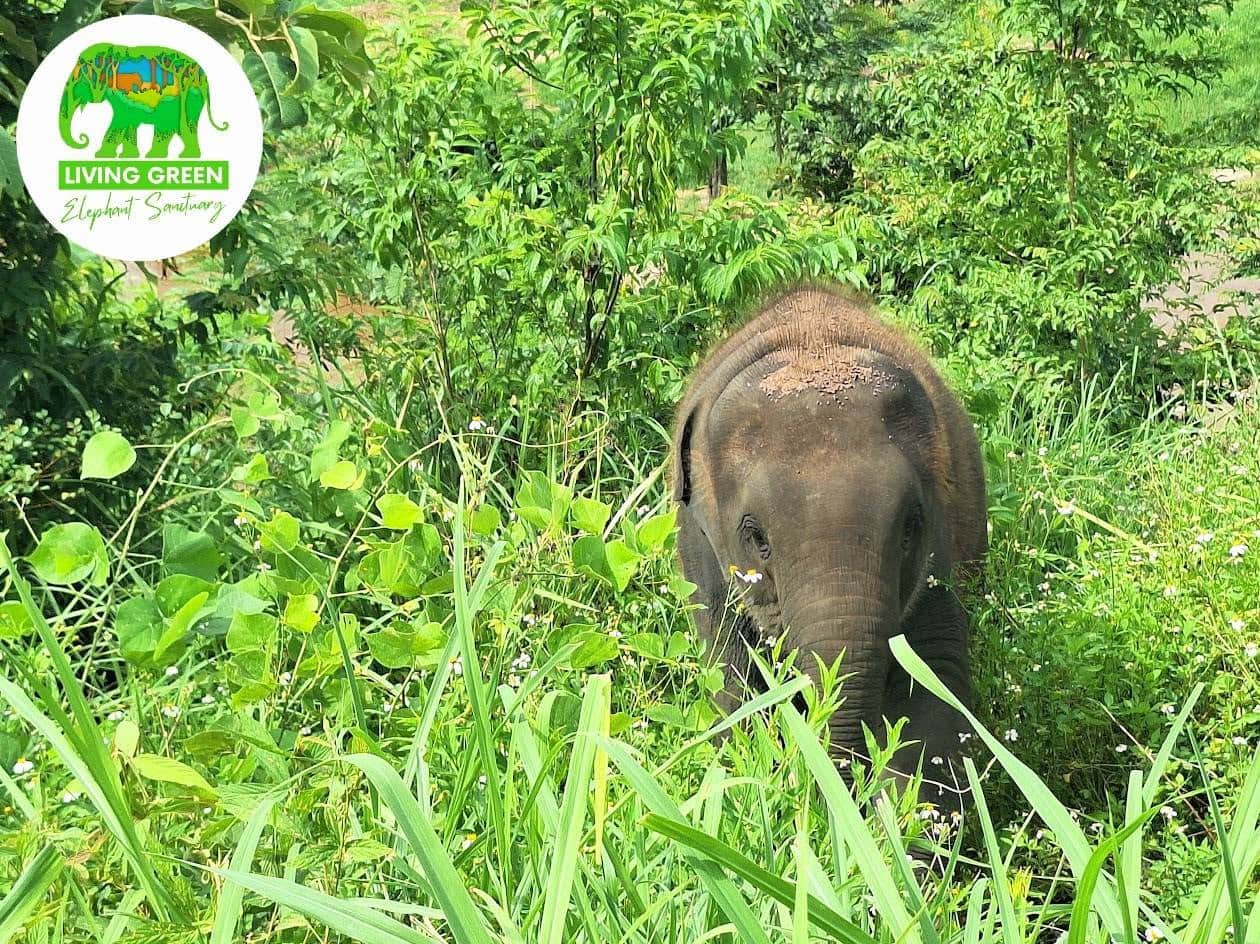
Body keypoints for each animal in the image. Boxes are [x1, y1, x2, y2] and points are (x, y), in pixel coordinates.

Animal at [59, 43, 227, 160]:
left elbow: (120, 123)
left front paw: (103, 155)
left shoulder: (125, 98)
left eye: (79, 79)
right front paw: (127, 156)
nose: (83, 138)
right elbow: (129, 126)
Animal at [671, 285, 987, 807]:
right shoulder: (700, 547)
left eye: (910, 528)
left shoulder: (941, 542)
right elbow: (734, 681)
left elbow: (934, 676)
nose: (846, 786)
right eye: (756, 537)